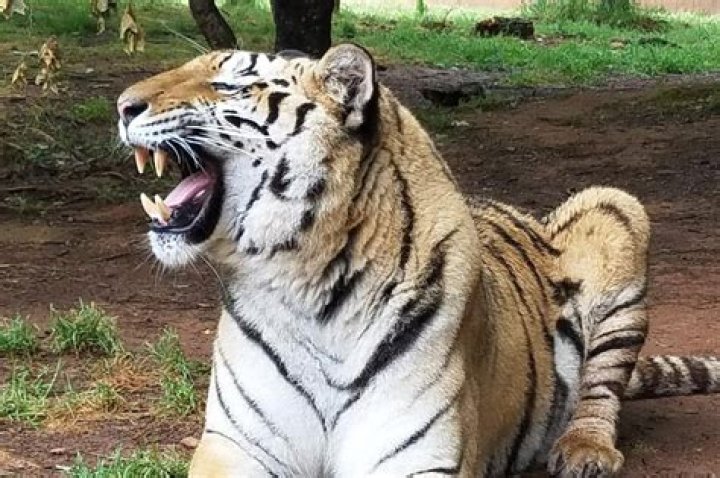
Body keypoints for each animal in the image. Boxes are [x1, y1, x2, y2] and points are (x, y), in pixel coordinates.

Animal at [116, 43, 720, 477]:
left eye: (230, 84)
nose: (122, 105)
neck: (305, 284)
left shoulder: (416, 457)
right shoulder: (237, 445)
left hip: (615, 208)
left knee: (600, 391)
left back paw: (583, 452)